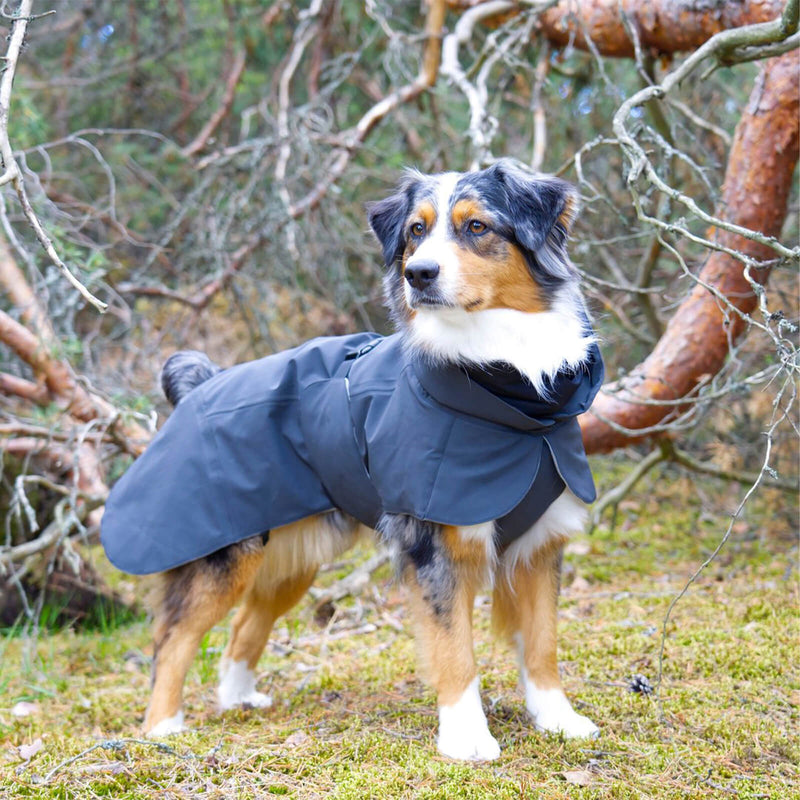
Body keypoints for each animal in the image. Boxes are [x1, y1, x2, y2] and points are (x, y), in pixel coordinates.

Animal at [98, 158, 600, 764]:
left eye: (477, 227)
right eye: (415, 231)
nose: (419, 274)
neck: (512, 394)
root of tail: (204, 384)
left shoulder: (539, 545)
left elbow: (543, 643)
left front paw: (558, 720)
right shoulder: (437, 546)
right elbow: (455, 649)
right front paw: (467, 738)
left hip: (292, 558)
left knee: (245, 625)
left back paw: (238, 699)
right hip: (223, 555)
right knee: (172, 638)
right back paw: (162, 729)